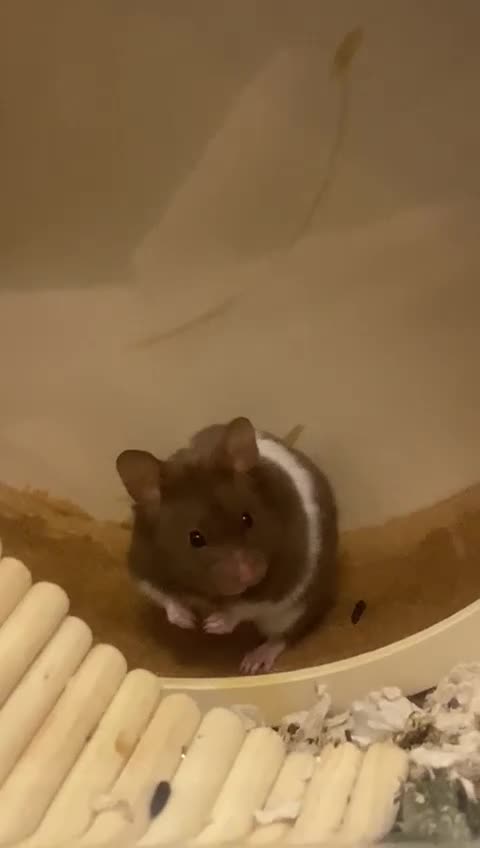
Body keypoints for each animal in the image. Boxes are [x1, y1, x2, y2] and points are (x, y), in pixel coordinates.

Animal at [116, 416, 338, 674]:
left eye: (247, 518)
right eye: (195, 538)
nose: (248, 574)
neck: (208, 594)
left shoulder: (285, 579)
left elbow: (247, 606)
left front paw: (212, 624)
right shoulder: (144, 566)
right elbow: (164, 597)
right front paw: (188, 621)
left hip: (293, 612)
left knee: (282, 635)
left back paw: (252, 663)